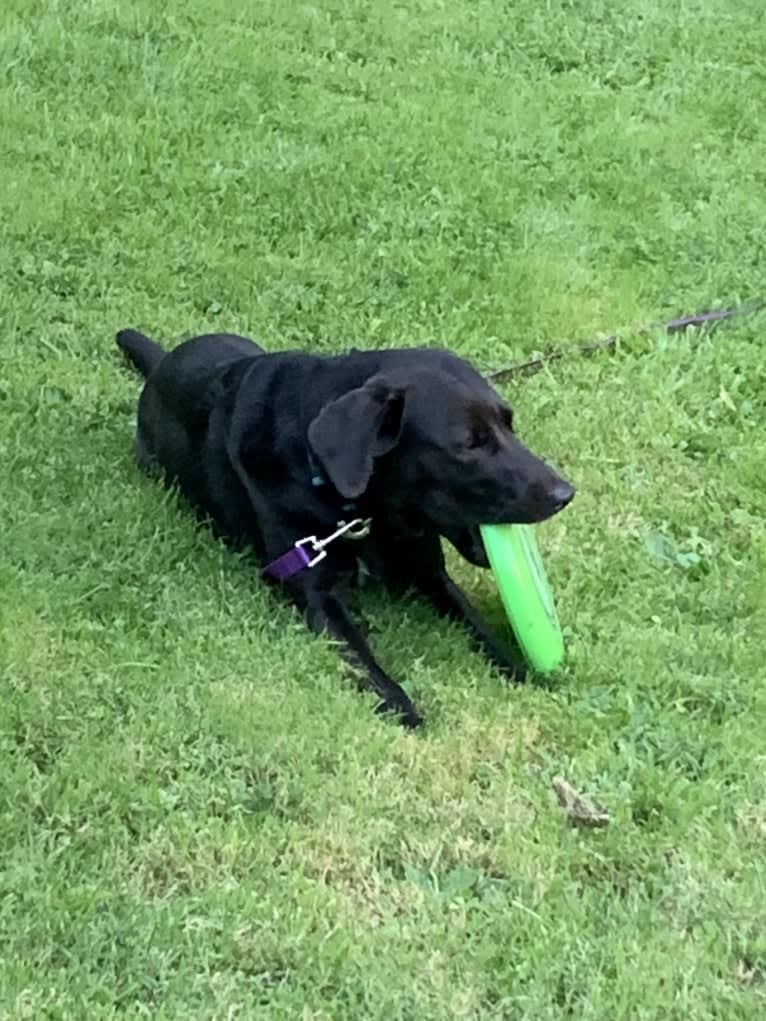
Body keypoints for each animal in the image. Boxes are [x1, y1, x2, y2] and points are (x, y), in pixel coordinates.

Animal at [118, 328, 576, 726]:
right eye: (469, 444)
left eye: (509, 423)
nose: (565, 493)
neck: (359, 510)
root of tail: (163, 361)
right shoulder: (319, 599)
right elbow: (368, 666)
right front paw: (406, 710)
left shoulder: (430, 574)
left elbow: (480, 628)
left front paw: (520, 673)